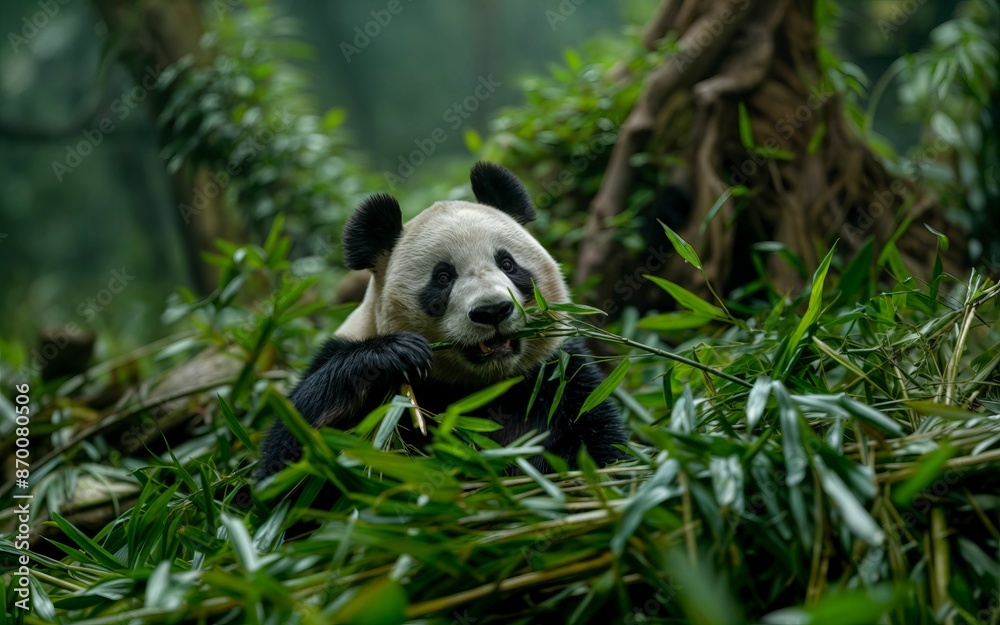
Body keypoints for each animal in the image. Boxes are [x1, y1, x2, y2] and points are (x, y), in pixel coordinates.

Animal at [260, 161, 632, 478]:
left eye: (507, 264)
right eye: (442, 277)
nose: (492, 310)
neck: (484, 387)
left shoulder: (560, 375)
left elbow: (602, 445)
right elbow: (287, 467)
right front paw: (395, 354)